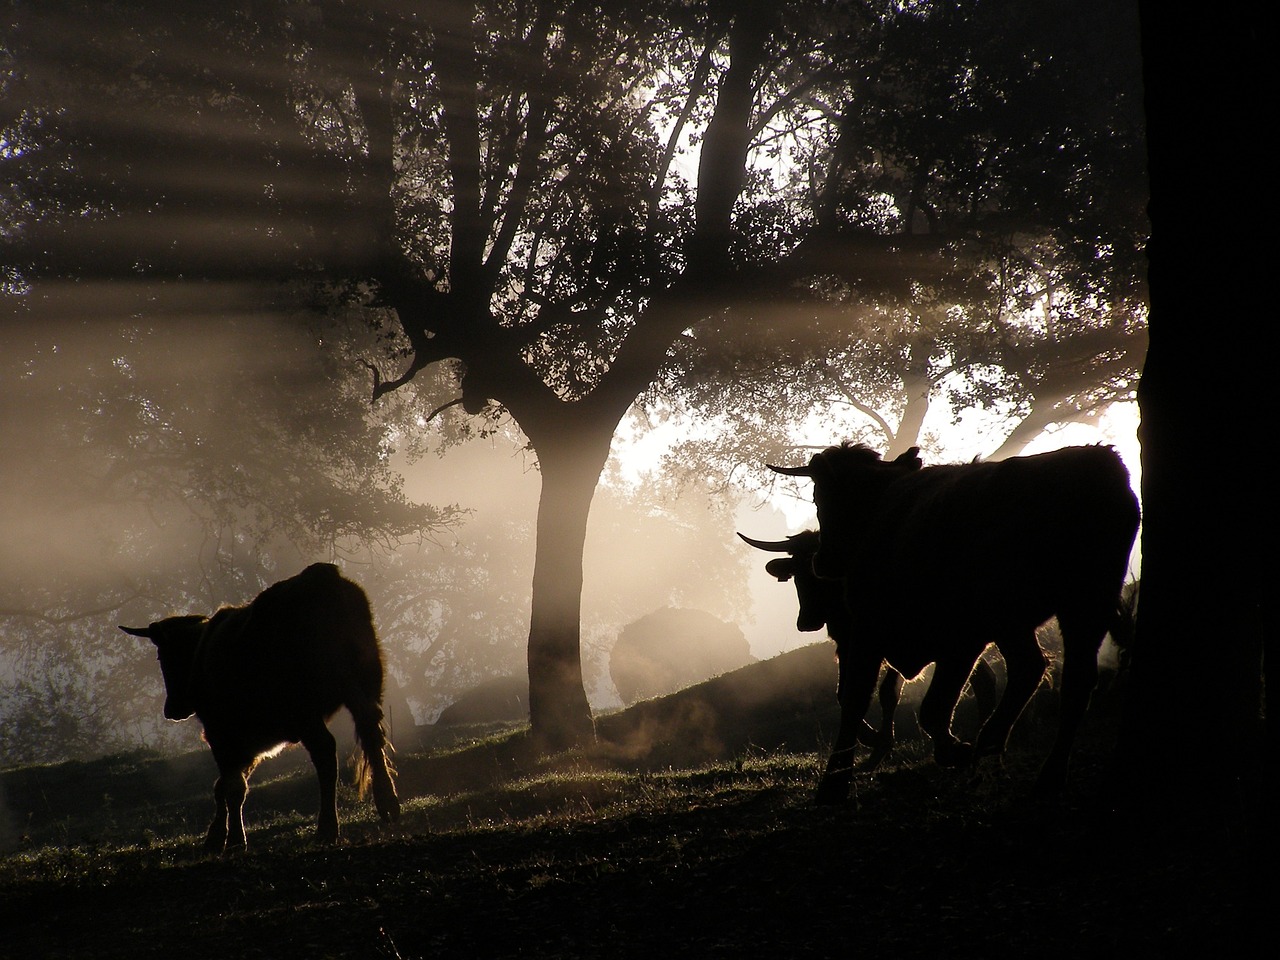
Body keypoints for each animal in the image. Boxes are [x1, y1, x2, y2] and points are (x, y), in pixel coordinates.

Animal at [122, 563, 399, 855]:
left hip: (304, 710)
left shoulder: (221, 735)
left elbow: (232, 787)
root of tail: (321, 576)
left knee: (326, 753)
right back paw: (387, 803)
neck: (202, 651)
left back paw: (327, 828)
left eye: (162, 656)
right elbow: (224, 786)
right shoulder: (250, 745)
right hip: (365, 687)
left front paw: (233, 839)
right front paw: (216, 837)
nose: (172, 708)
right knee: (371, 733)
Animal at [742, 529, 998, 778]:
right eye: (796, 572)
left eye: (817, 569)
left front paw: (880, 743)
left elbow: (886, 693)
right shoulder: (848, 645)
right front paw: (874, 744)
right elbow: (846, 694)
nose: (805, 622)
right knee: (984, 677)